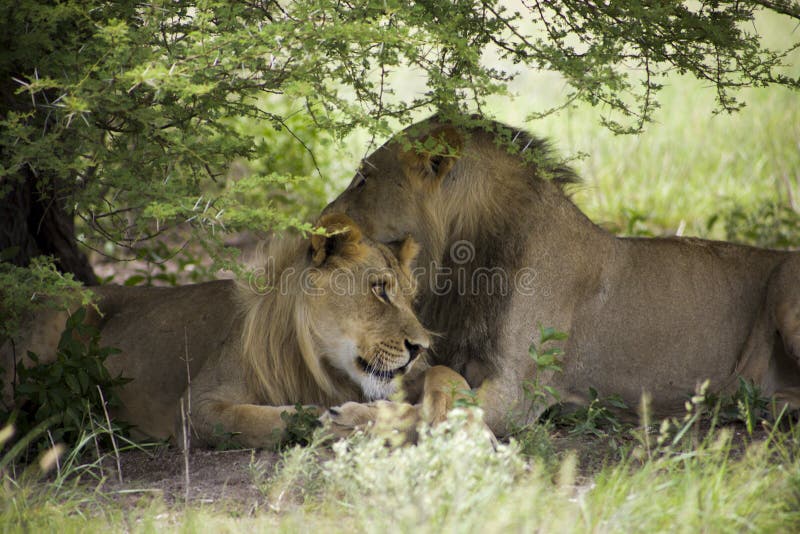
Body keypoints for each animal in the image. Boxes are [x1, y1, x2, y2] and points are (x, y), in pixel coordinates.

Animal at [0, 216, 472, 450]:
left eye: (410, 297)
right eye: (379, 289)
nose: (420, 347)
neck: (321, 365)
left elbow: (449, 375)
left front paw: (436, 413)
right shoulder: (196, 408)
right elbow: (265, 419)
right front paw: (339, 421)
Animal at [324, 115, 800, 438]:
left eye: (363, 178)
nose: (321, 221)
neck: (462, 261)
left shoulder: (516, 396)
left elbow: (440, 396)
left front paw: (353, 418)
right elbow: (424, 382)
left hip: (785, 287)